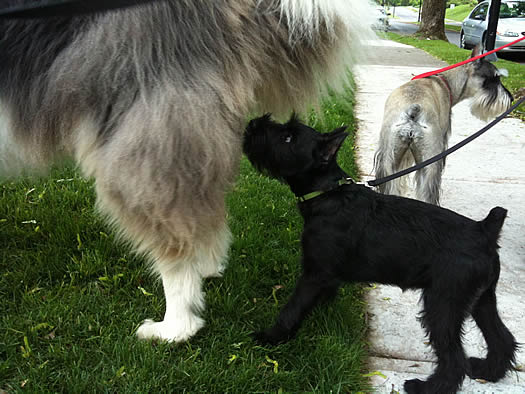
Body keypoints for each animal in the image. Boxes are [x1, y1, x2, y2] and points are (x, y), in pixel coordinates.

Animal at [0, 0, 376, 342]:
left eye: (287, 136)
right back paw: (207, 268)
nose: (257, 125)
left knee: (176, 245)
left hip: (143, 149)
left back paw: (174, 327)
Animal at [243, 114, 516, 394]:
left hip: (443, 304)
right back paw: (488, 371)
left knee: (454, 358)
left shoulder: (313, 275)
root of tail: (484, 230)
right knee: (502, 338)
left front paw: (270, 337)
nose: (252, 124)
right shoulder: (325, 275)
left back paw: (426, 386)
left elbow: (292, 309)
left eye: (288, 137)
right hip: (481, 300)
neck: (327, 194)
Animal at [372, 47, 512, 205]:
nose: (511, 98)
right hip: (430, 164)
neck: (447, 82)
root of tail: (413, 111)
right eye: (493, 79)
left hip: (388, 160)